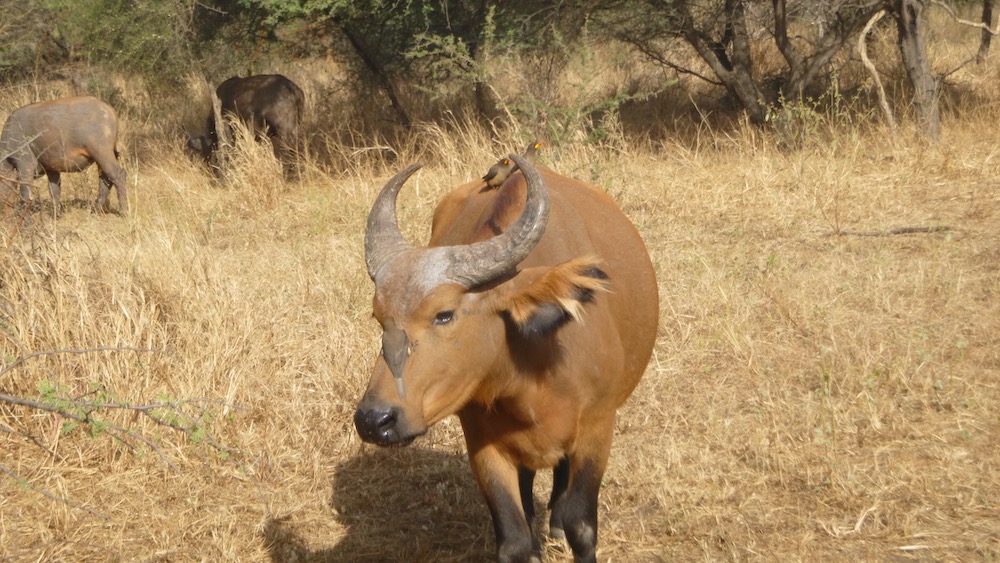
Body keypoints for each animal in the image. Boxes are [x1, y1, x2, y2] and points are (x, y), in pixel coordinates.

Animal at [0, 96, 128, 215]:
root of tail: (110, 110)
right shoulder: (52, 169)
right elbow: (54, 191)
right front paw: (56, 213)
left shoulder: (25, 165)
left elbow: (26, 193)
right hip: (102, 159)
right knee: (105, 179)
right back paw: (96, 209)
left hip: (102, 154)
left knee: (118, 176)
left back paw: (123, 211)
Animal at [356, 154, 660, 563]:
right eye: (379, 316)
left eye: (444, 314)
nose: (375, 420)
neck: (532, 371)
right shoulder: (483, 444)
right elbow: (514, 539)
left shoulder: (598, 429)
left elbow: (581, 525)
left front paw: (563, 526)